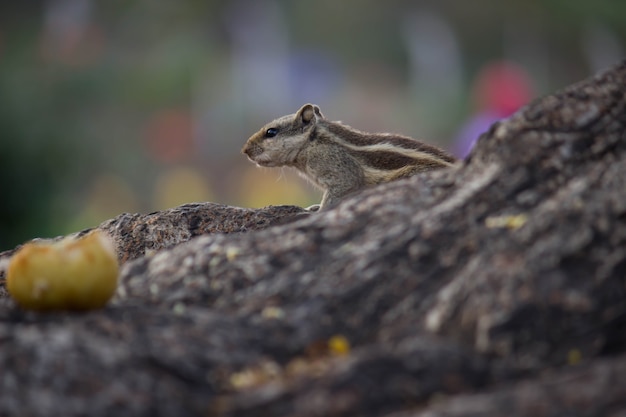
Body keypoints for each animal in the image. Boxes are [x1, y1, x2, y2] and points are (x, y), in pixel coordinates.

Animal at [241, 103, 456, 210]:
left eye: (271, 132)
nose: (245, 150)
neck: (312, 142)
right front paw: (312, 208)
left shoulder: (339, 172)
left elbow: (335, 194)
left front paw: (317, 212)